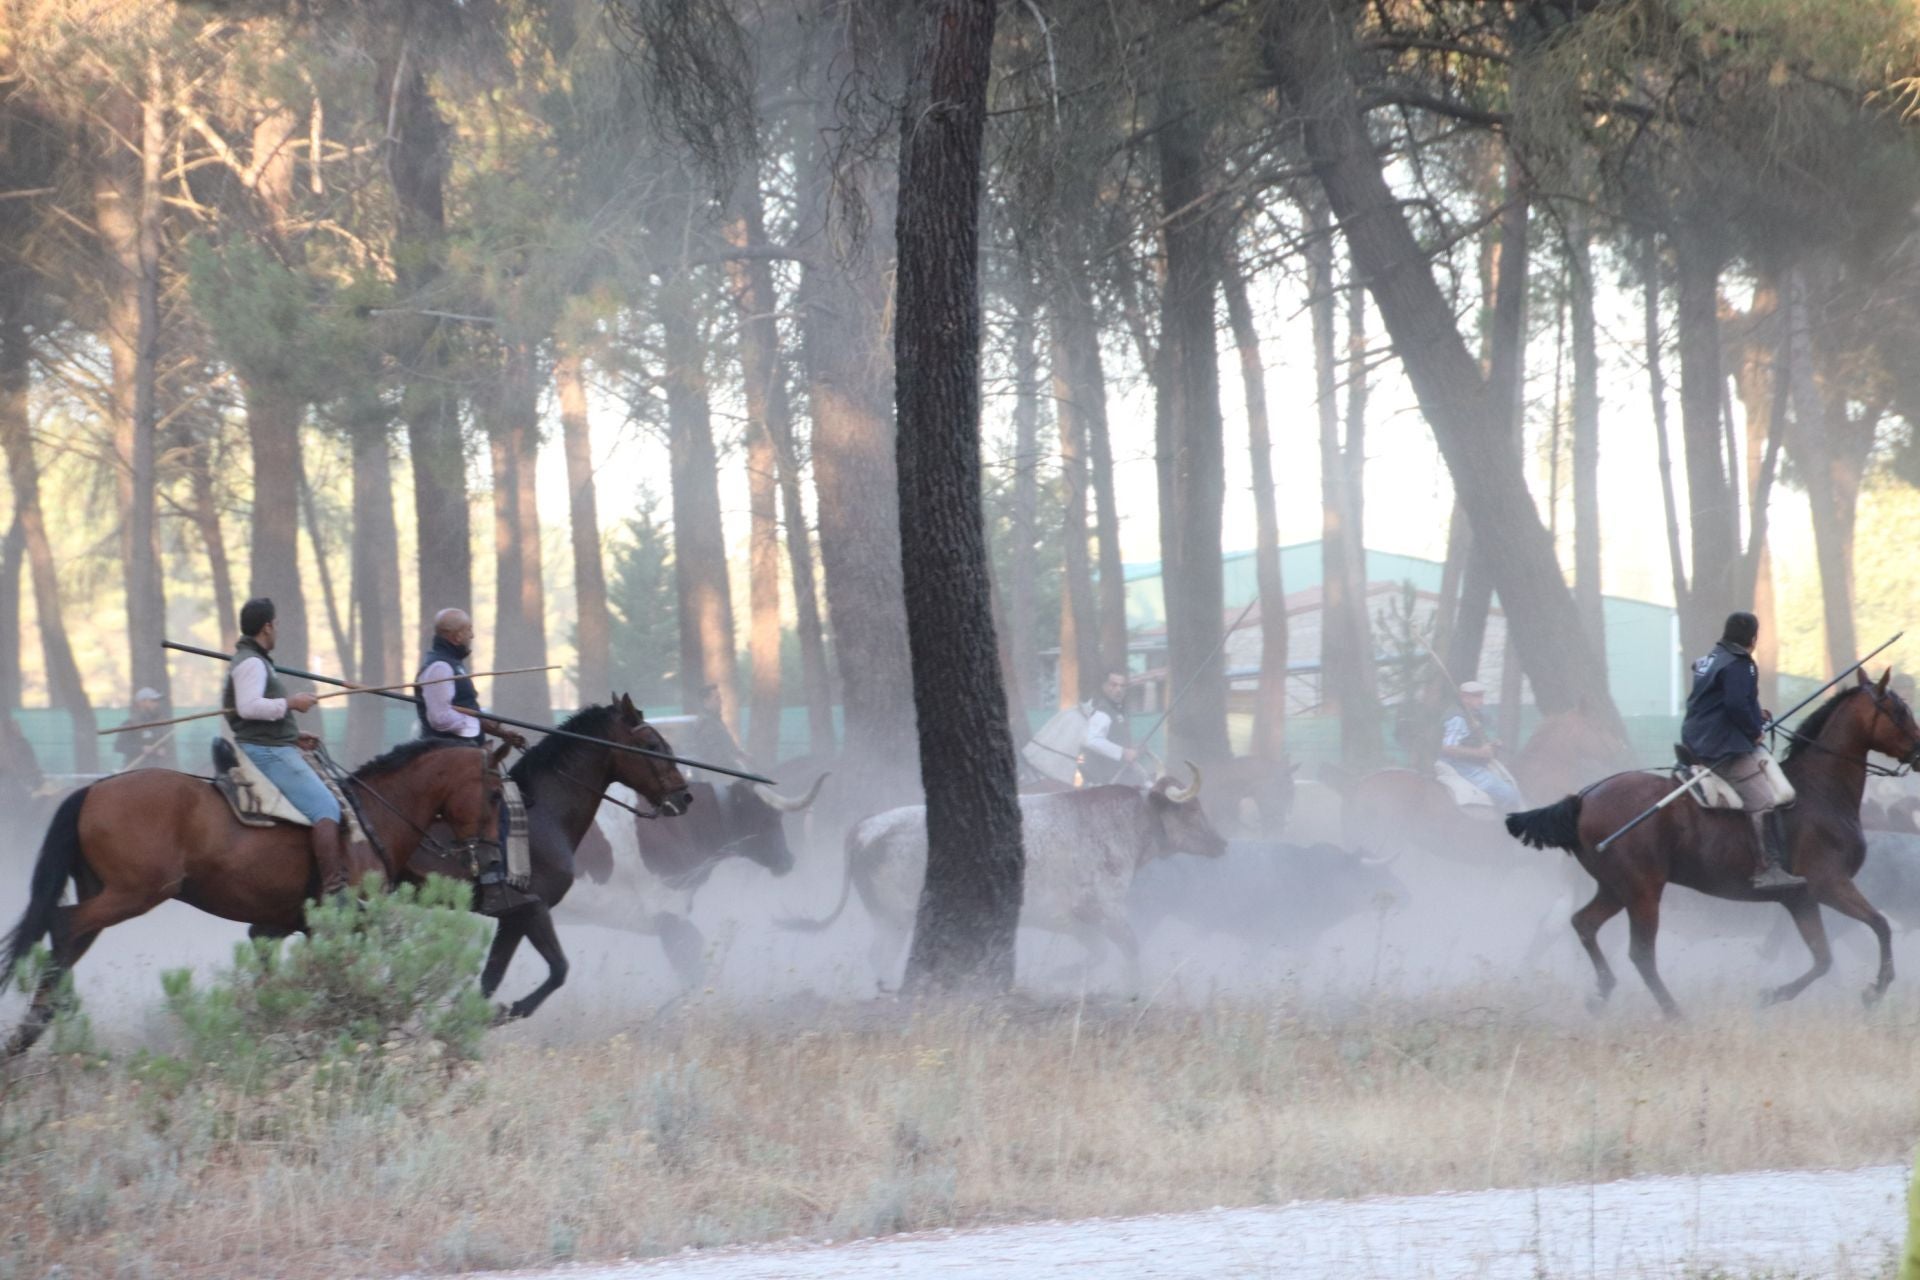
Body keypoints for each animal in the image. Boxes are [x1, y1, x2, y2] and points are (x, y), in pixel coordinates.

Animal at [0, 736, 506, 1059]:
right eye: (495, 793)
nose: (493, 860)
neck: (372, 817)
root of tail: (93, 789)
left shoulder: (275, 927)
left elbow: (269, 975)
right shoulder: (347, 925)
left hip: (106, 892)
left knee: (66, 935)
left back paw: (34, 1029)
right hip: (132, 894)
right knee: (64, 923)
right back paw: (50, 1016)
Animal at [478, 694, 691, 1028]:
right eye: (651, 745)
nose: (684, 797)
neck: (541, 813)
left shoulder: (512, 916)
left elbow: (491, 978)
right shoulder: (531, 908)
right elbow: (559, 970)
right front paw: (511, 1009)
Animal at [771, 771, 1221, 990]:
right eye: (1191, 809)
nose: (1223, 842)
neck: (1122, 822)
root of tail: (866, 827)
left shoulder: (1074, 921)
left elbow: (1099, 954)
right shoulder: (1105, 909)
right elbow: (1128, 948)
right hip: (897, 919)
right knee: (881, 955)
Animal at [1505, 671, 1920, 1020]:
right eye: (1899, 710)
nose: (1918, 752)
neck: (1820, 790)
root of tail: (1583, 798)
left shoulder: (1802, 899)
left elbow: (1823, 958)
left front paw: (1772, 995)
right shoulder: (1829, 885)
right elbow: (1878, 926)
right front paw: (1875, 990)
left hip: (1615, 888)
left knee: (1584, 924)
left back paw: (1601, 993)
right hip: (1642, 892)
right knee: (1640, 953)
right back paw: (1674, 1012)